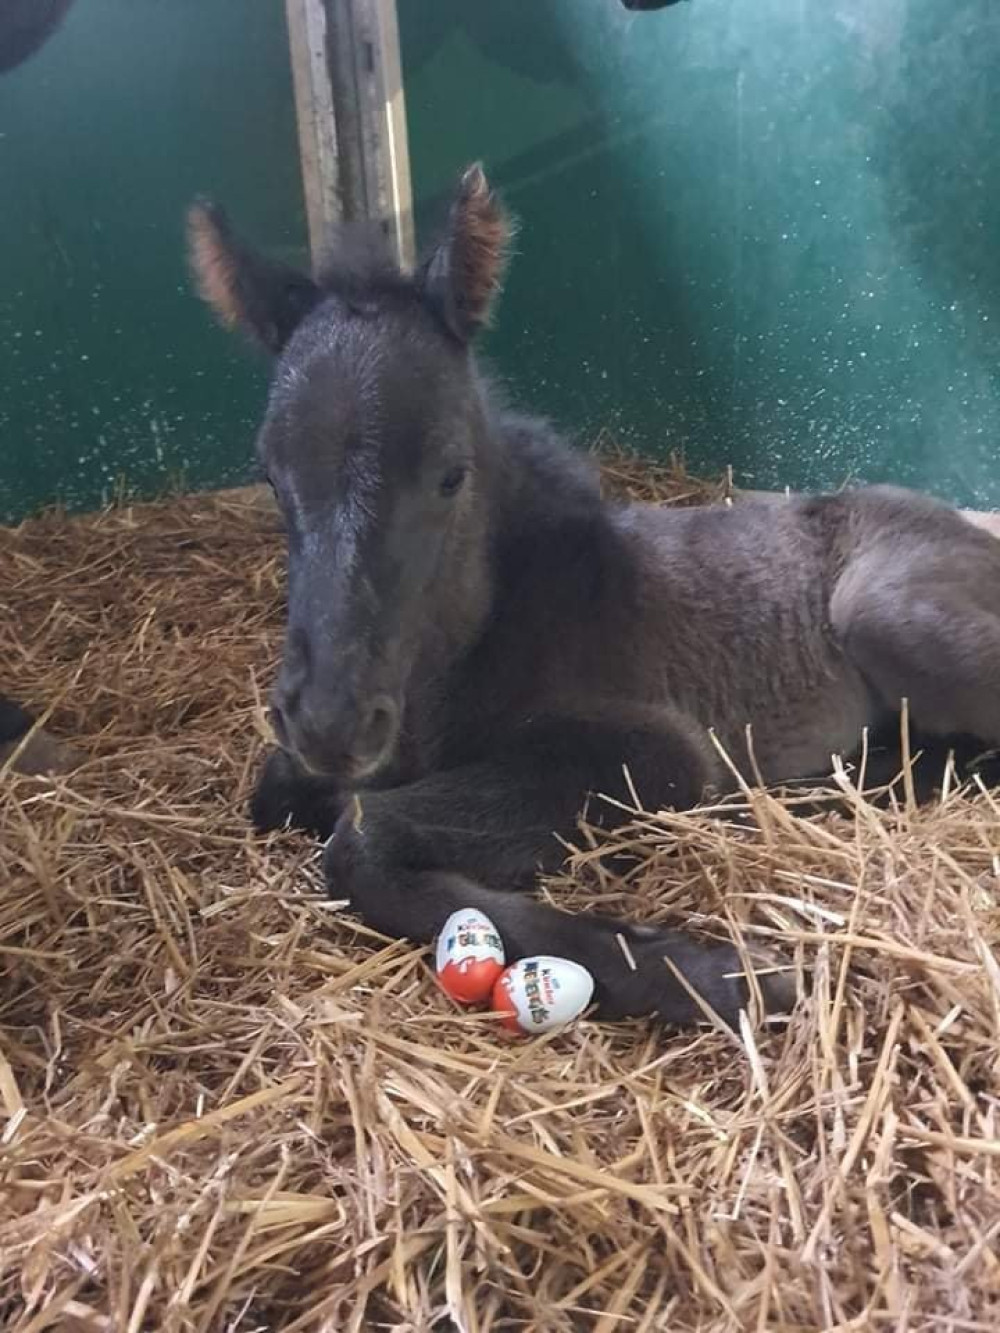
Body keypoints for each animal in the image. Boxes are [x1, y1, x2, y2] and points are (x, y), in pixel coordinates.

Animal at [188, 163, 1000, 1018]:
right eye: (271, 474)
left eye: (450, 473)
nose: (330, 719)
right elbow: (282, 793)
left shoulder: (654, 748)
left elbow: (362, 836)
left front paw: (718, 971)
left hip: (883, 612)